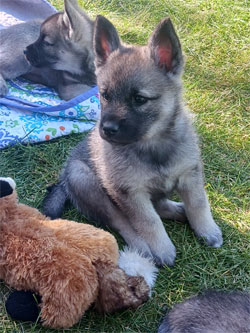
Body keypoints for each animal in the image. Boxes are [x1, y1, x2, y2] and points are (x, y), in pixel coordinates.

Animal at [42, 15, 223, 266]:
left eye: (139, 99)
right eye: (105, 95)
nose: (107, 130)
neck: (153, 143)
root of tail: (64, 180)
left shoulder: (190, 175)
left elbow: (198, 204)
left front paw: (207, 229)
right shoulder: (130, 192)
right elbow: (147, 221)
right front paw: (162, 248)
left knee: (159, 205)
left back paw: (180, 211)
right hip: (87, 181)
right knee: (122, 222)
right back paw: (144, 248)